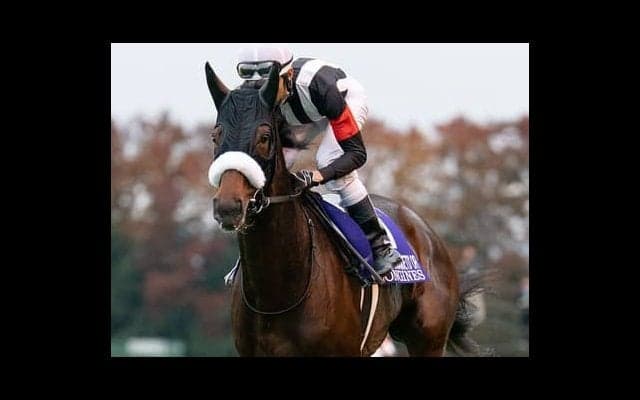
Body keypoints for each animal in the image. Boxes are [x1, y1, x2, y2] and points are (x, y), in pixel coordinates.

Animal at [205, 62, 482, 356]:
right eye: (216, 135)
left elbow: (355, 152)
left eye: (265, 137)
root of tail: (427, 233)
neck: (278, 293)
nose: (228, 205)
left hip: (428, 339)